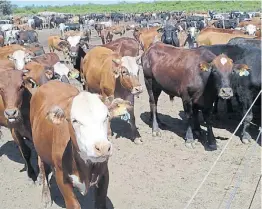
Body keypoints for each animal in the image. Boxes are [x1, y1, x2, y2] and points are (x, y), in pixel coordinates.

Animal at [29, 80, 132, 209]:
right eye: (74, 120)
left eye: (107, 116)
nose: (103, 148)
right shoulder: (61, 176)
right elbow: (73, 204)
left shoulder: (104, 173)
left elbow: (100, 203)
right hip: (40, 149)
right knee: (43, 168)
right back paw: (46, 196)